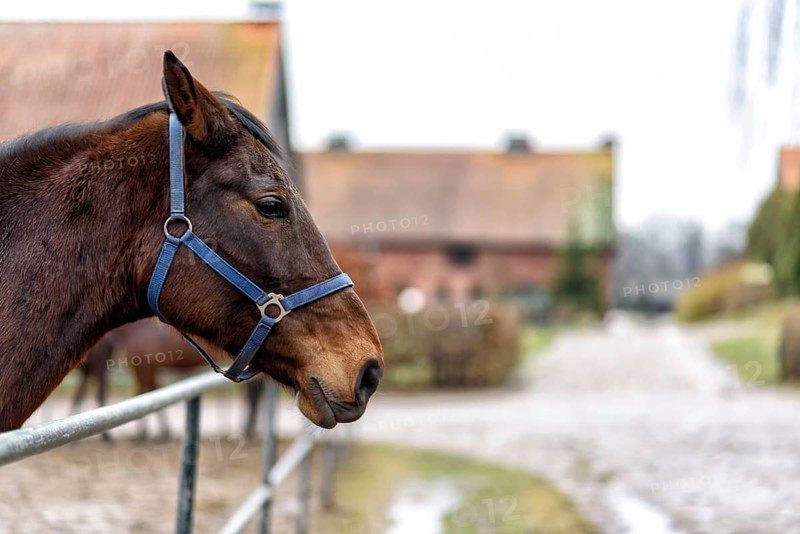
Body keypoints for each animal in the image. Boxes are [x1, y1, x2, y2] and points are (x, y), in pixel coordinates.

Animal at [73, 319, 266, 440]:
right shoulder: (146, 368)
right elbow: (149, 393)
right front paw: (157, 433)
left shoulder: (144, 367)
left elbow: (146, 393)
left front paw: (147, 433)